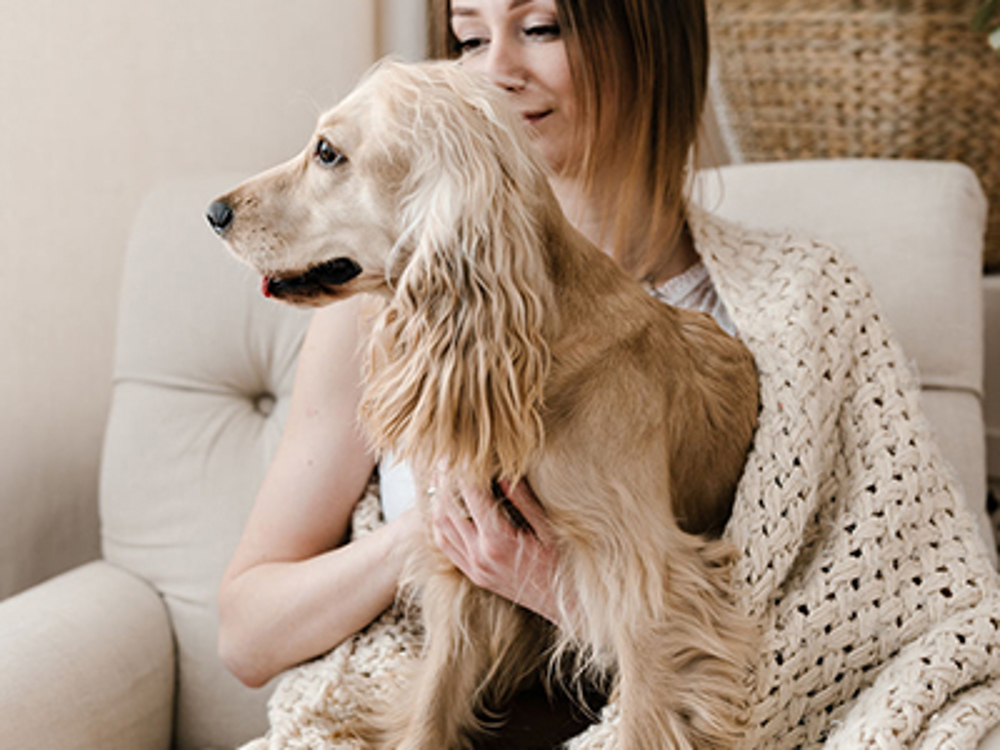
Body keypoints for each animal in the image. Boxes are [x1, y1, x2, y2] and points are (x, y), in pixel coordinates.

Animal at [211, 60, 756, 750]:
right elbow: (430, 709)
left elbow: (640, 721)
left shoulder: (649, 589)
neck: (538, 355)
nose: (214, 211)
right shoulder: (464, 582)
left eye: (328, 152)